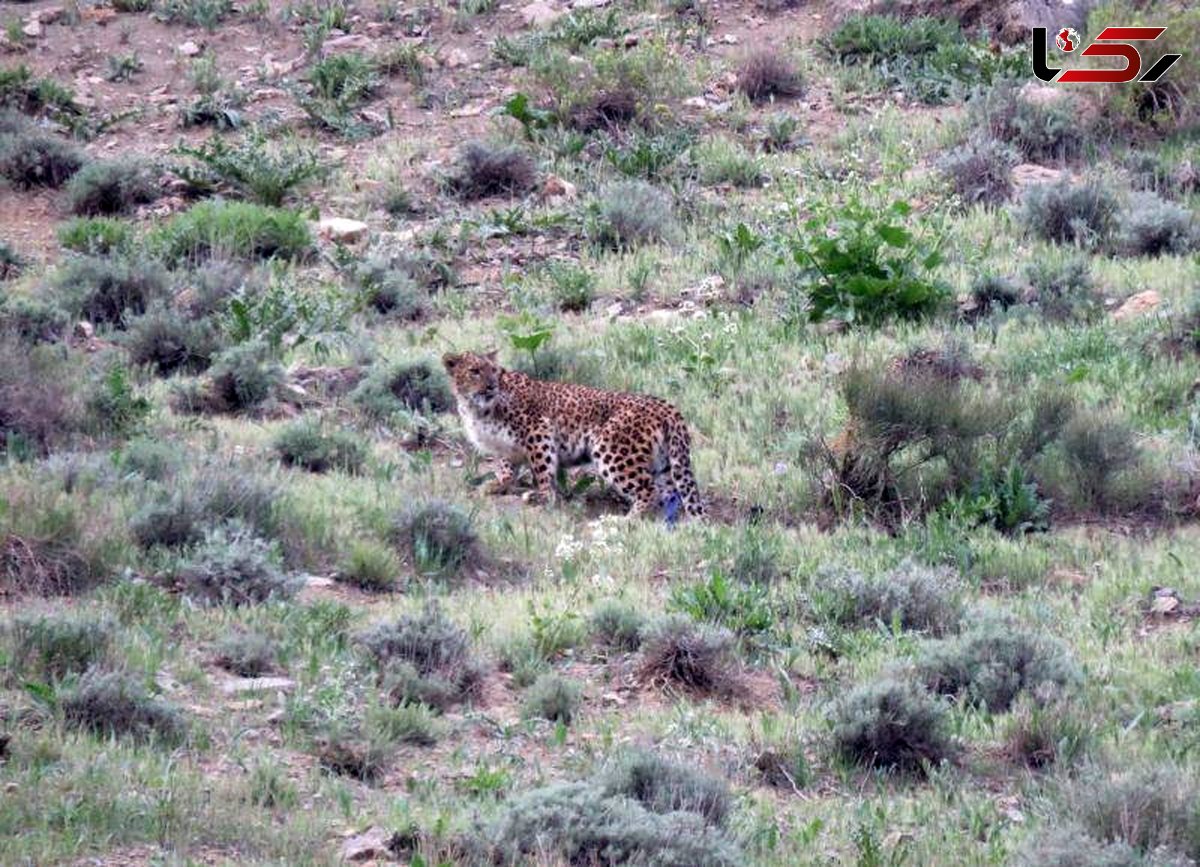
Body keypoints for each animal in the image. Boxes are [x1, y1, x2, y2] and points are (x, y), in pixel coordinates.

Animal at [441, 350, 700, 521]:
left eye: (493, 371)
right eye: (475, 371)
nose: (491, 386)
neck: (475, 407)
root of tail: (666, 406)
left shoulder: (538, 431)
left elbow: (542, 470)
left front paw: (544, 497)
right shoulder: (504, 447)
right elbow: (505, 467)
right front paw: (498, 484)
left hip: (612, 451)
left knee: (649, 490)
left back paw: (627, 521)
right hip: (663, 463)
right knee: (671, 493)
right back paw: (667, 520)